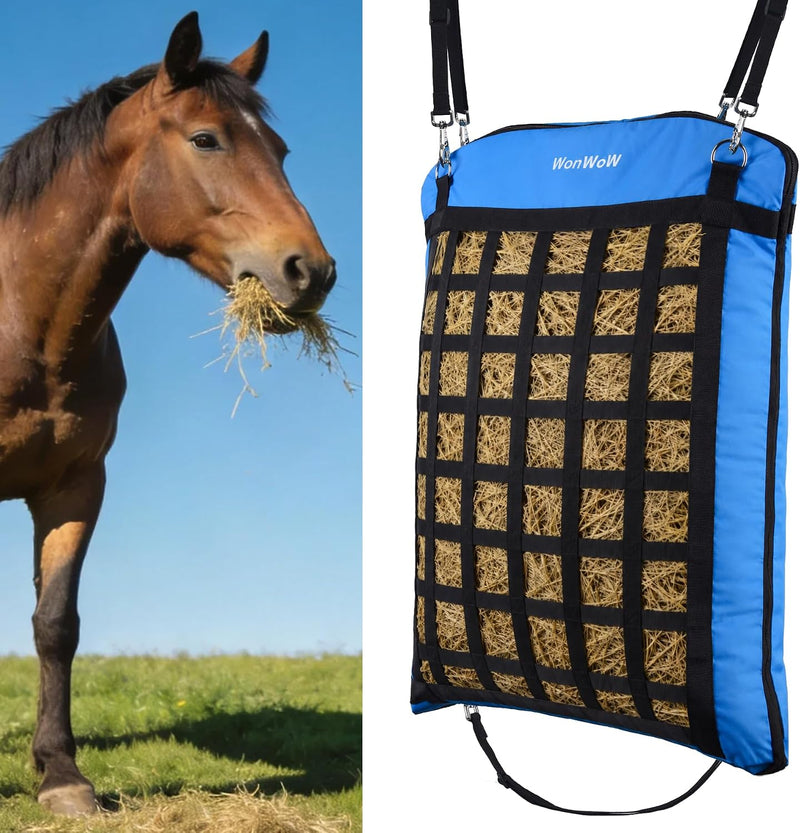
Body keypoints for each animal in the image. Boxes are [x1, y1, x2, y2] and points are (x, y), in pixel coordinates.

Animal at [0, 12, 335, 816]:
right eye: (206, 139)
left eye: (280, 149)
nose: (312, 271)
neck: (23, 322)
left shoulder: (75, 488)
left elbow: (56, 624)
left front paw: (61, 775)